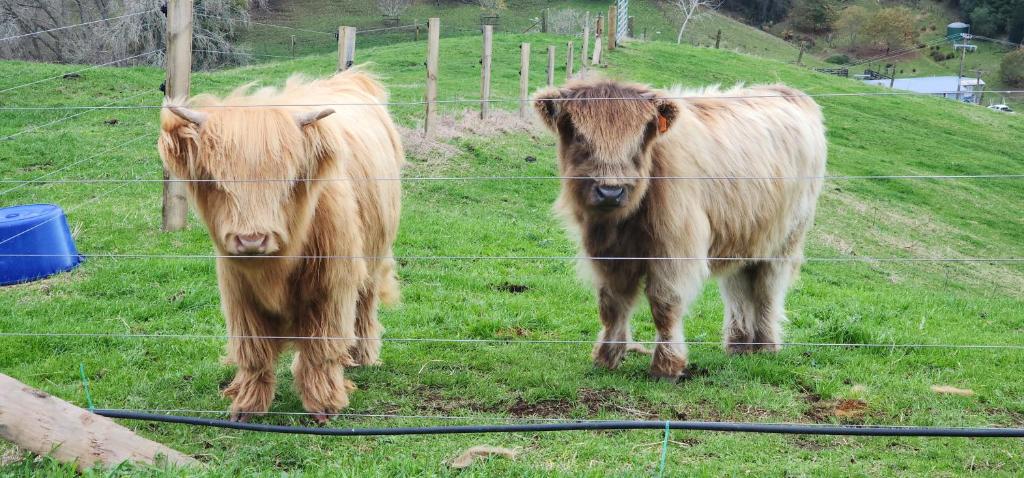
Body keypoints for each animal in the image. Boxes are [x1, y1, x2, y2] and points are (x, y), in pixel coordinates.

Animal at [158, 70, 403, 421]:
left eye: (286, 181)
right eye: (217, 182)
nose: (251, 239)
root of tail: (351, 77)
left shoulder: (330, 287)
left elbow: (320, 349)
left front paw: (324, 405)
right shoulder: (239, 294)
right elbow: (253, 351)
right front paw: (246, 406)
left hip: (375, 253)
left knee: (365, 302)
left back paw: (361, 356)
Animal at [534, 79, 827, 381]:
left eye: (639, 138)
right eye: (579, 136)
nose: (610, 192)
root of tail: (788, 91)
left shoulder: (674, 249)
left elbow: (664, 305)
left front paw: (666, 366)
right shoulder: (608, 254)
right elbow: (611, 304)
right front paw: (606, 358)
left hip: (784, 240)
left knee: (768, 289)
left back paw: (766, 346)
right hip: (743, 236)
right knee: (738, 287)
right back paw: (739, 345)